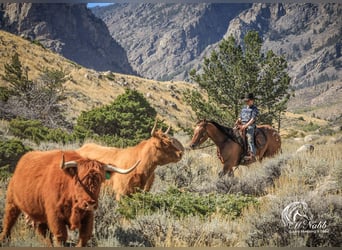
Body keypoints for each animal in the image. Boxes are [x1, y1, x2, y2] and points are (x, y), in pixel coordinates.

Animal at [0, 149, 139, 247]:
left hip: (39, 213)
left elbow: (84, 237)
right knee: (8, 222)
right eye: (79, 180)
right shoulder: (55, 215)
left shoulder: (88, 216)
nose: (90, 203)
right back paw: (4, 240)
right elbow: (61, 236)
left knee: (43, 233)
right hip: (12, 202)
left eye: (100, 180)